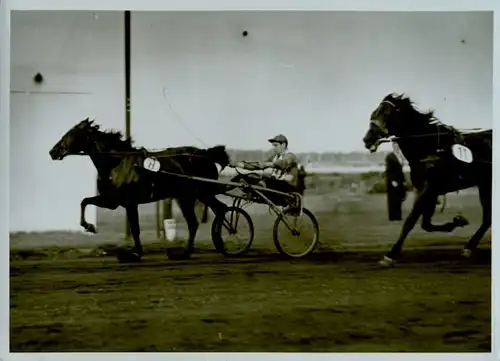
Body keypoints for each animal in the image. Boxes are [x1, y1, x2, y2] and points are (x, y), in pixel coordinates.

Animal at [49, 116, 229, 260]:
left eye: (71, 133)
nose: (53, 151)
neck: (116, 163)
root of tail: (205, 154)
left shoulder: (130, 203)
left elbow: (135, 229)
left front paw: (136, 253)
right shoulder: (110, 201)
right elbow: (84, 201)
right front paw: (89, 226)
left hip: (188, 196)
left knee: (194, 222)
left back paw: (186, 252)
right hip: (201, 194)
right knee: (219, 209)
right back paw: (218, 245)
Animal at [364, 93, 492, 268]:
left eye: (386, 111)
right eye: (375, 111)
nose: (367, 139)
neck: (430, 147)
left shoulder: (429, 189)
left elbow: (410, 222)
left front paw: (390, 255)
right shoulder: (428, 190)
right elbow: (426, 224)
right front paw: (457, 222)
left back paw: (469, 247)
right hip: (484, 184)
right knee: (487, 218)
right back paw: (468, 248)